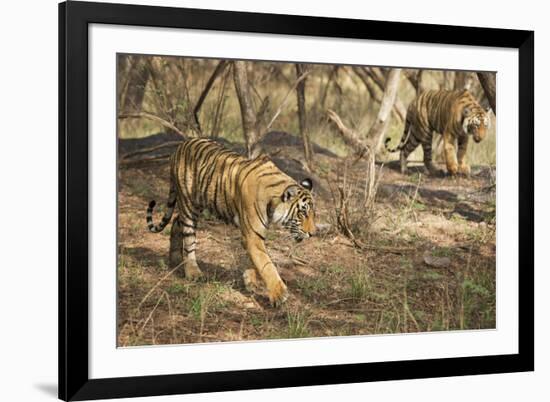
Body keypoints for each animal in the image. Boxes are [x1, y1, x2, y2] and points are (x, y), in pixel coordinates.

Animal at [147, 137, 316, 304]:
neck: (273, 200)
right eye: (302, 213)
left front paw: (250, 281)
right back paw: (193, 272)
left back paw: (175, 260)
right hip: (189, 204)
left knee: (176, 221)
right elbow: (266, 264)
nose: (313, 234)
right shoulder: (253, 235)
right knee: (188, 240)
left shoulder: (252, 235)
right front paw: (279, 294)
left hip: (197, 204)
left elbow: (256, 260)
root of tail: (181, 145)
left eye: (313, 214)